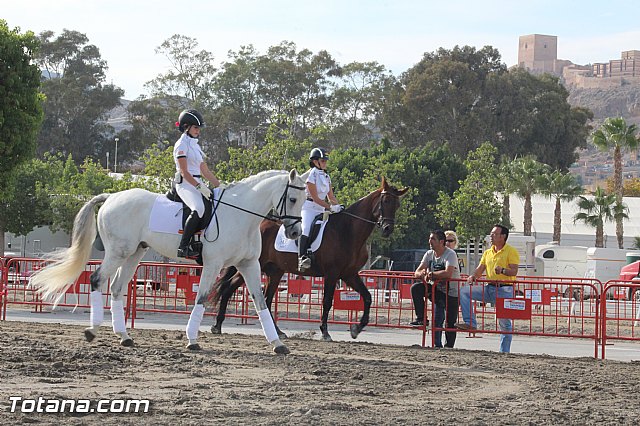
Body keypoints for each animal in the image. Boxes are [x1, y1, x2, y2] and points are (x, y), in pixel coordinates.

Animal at [31, 169, 306, 352]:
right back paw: (92, 330)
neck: (240, 215)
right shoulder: (213, 264)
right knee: (98, 279)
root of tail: (111, 197)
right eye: (293, 199)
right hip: (118, 252)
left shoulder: (249, 264)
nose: (295, 233)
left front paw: (277, 343)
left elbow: (260, 301)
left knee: (117, 288)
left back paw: (124, 336)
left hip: (135, 253)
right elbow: (201, 298)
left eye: (306, 200)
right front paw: (192, 340)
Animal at [211, 178, 410, 342]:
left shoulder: (349, 274)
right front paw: (325, 332)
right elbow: (327, 301)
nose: (387, 229)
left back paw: (278, 332)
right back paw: (217, 325)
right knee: (229, 287)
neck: (347, 231)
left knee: (266, 300)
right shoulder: (332, 274)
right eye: (385, 201)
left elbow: (368, 297)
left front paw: (356, 329)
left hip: (275, 272)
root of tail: (257, 226)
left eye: (398, 205)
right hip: (253, 266)